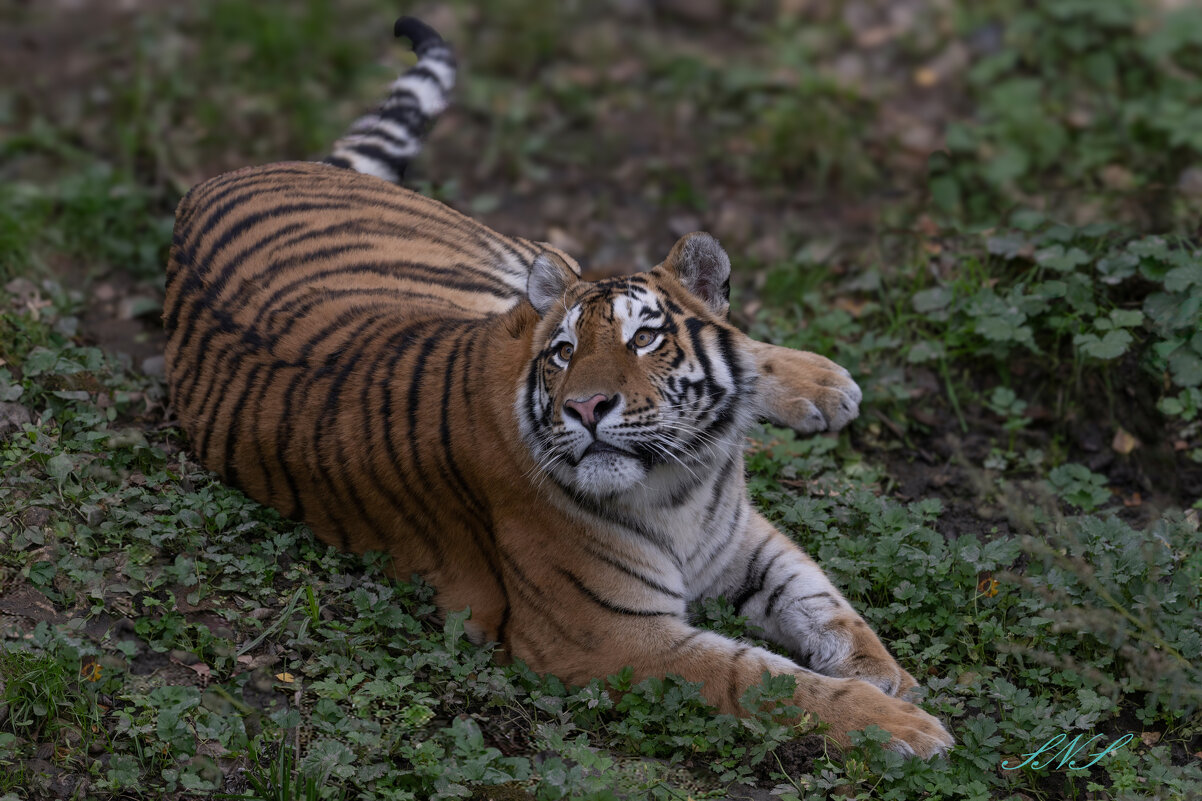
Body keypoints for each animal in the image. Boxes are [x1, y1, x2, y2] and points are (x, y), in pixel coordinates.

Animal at [164, 17, 951, 755]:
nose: (586, 407)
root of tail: (232, 174)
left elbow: (822, 598)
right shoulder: (611, 638)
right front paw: (899, 725)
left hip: (520, 264)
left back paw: (827, 386)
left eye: (644, 338)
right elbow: (763, 680)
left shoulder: (741, 540)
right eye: (564, 353)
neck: (682, 487)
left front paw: (886, 674)